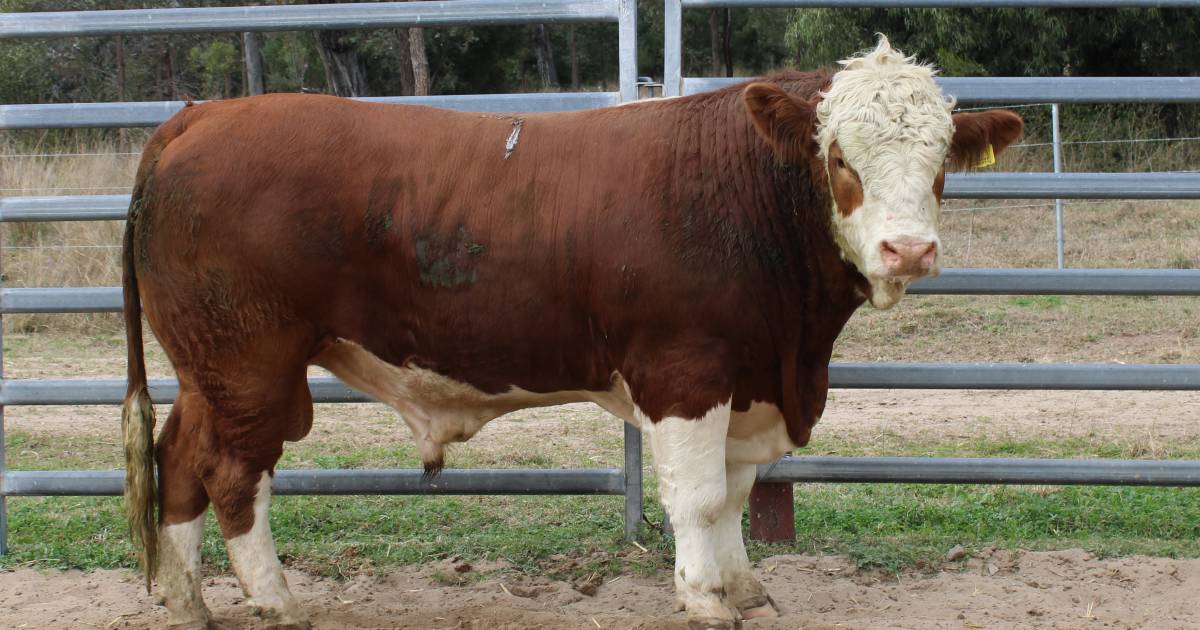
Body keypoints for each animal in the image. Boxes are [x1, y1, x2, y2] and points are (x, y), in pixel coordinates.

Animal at [124, 36, 1022, 624]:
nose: (909, 248)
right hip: (251, 362)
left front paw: (743, 586)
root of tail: (202, 116)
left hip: (209, 368)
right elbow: (698, 496)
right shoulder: (686, 372)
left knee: (181, 460)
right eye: (839, 158)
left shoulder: (749, 377)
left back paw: (185, 597)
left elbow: (735, 492)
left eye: (941, 161)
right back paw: (275, 601)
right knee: (234, 473)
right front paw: (706, 599)